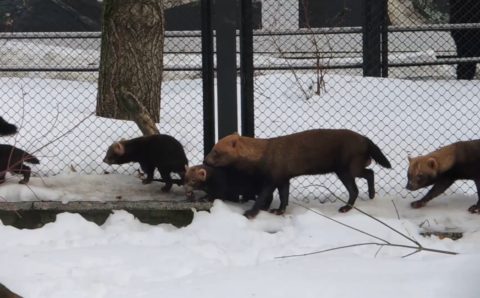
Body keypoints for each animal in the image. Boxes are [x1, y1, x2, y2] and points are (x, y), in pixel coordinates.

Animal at [204, 129, 392, 218]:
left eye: (216, 151)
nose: (205, 160)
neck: (264, 154)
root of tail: (365, 140)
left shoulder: (272, 177)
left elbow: (263, 196)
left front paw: (250, 213)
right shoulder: (283, 178)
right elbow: (284, 196)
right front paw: (278, 211)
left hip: (346, 169)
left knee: (356, 187)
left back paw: (345, 207)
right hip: (352, 168)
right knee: (369, 173)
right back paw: (371, 195)